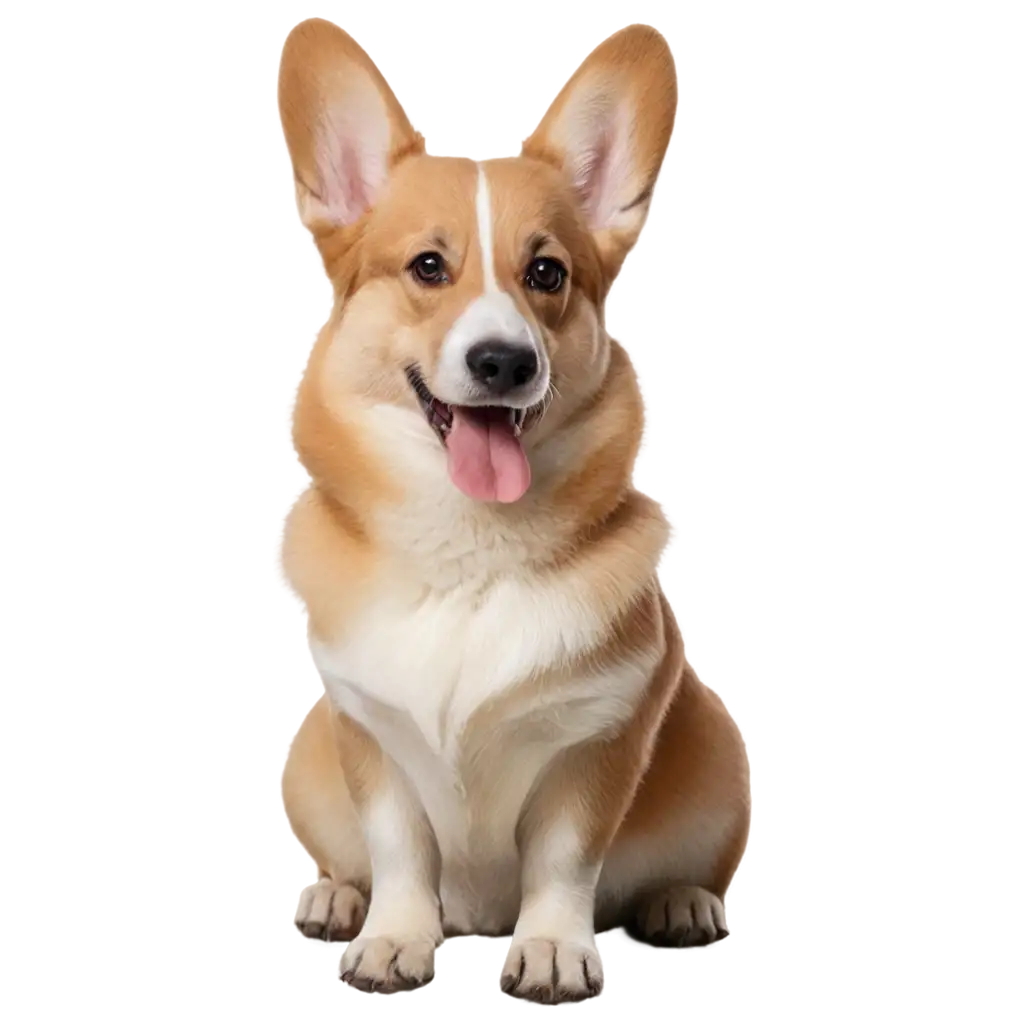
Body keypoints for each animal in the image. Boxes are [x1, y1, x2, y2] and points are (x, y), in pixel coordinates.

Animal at [272, 19, 753, 1003]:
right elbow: (399, 848)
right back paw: (334, 897)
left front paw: (555, 947)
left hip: (717, 757)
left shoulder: (599, 739)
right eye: (428, 267)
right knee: (352, 861)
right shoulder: (365, 734)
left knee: (677, 869)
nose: (504, 361)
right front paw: (392, 939)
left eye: (546, 273)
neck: (471, 554)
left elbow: (566, 860)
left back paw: (682, 902)